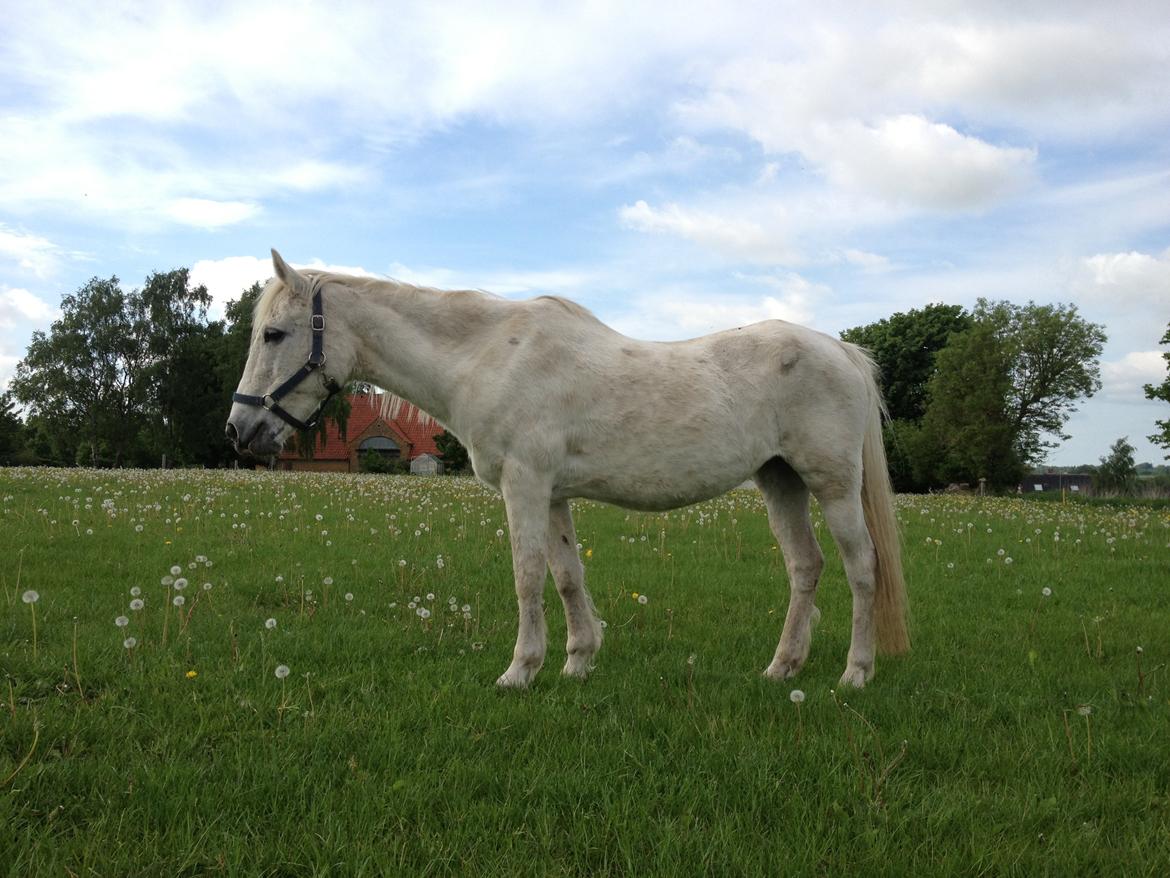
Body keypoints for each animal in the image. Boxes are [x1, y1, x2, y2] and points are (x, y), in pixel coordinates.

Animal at [223, 250, 907, 693]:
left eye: (274, 333)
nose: (239, 431)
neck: (487, 357)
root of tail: (840, 349)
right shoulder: (552, 495)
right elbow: (567, 574)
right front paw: (578, 661)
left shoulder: (524, 486)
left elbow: (528, 576)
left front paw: (520, 671)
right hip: (779, 481)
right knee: (805, 567)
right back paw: (782, 667)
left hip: (832, 485)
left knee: (861, 568)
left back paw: (855, 674)